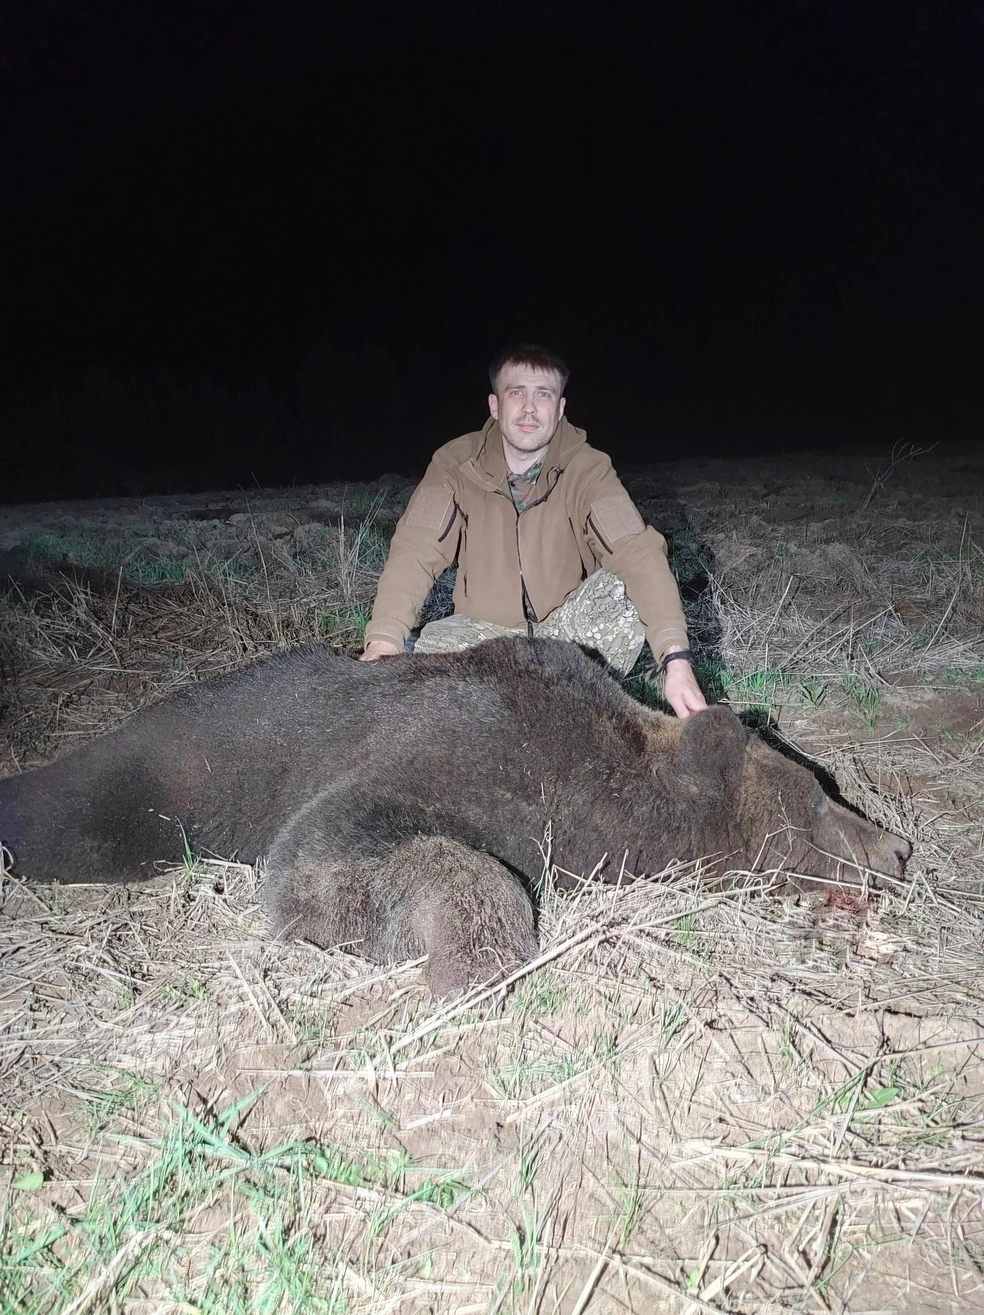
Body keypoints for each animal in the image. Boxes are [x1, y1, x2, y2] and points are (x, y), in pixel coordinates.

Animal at [0, 637, 911, 995]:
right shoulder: (445, 753)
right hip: (164, 775)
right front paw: (470, 959)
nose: (901, 848)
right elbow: (319, 847)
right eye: (822, 796)